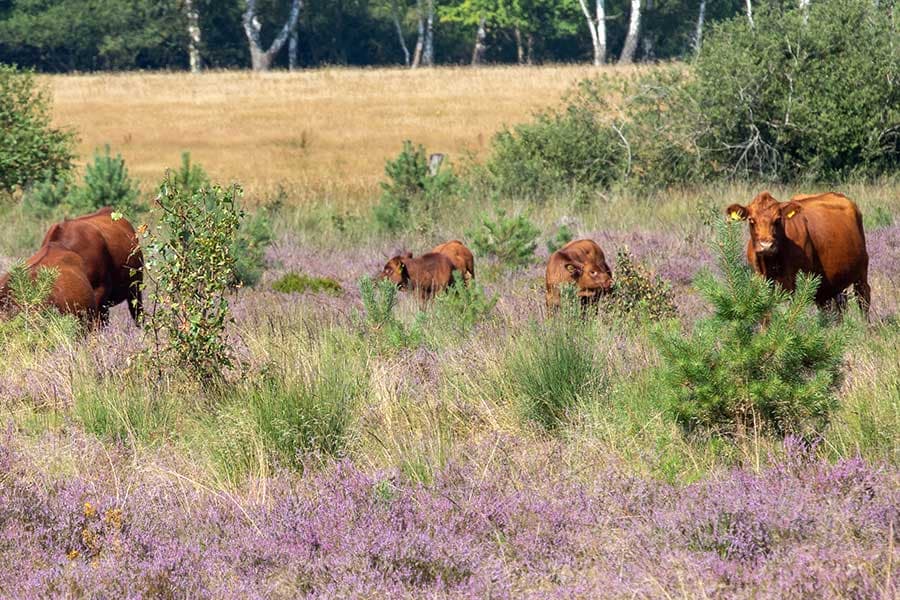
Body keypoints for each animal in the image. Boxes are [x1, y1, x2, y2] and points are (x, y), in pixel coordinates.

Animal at [725, 191, 870, 314]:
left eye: (778, 219)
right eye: (751, 220)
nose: (766, 246)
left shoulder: (795, 284)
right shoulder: (760, 281)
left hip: (861, 273)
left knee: (863, 300)